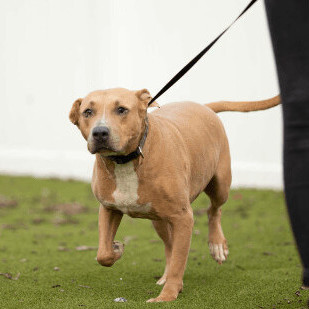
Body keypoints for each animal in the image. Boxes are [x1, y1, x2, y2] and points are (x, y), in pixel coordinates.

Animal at [69, 88, 280, 302]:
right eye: (87, 112)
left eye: (121, 109)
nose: (100, 132)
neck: (127, 160)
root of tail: (204, 107)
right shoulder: (109, 208)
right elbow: (103, 253)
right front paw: (116, 249)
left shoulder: (183, 217)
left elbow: (180, 259)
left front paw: (167, 296)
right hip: (159, 220)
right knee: (170, 244)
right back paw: (166, 274)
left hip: (220, 185)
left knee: (214, 210)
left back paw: (216, 244)